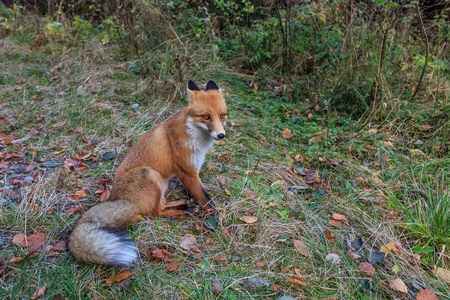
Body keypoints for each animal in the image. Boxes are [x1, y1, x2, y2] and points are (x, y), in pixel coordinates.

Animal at [68, 81, 227, 266]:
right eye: (205, 117)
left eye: (222, 116)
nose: (221, 135)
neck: (195, 136)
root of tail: (120, 199)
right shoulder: (188, 172)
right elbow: (207, 199)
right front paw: (217, 218)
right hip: (150, 174)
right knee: (156, 212)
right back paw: (186, 210)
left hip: (163, 182)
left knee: (162, 204)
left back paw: (183, 204)